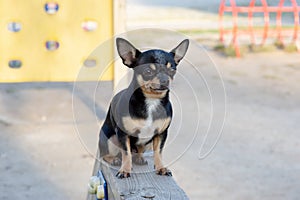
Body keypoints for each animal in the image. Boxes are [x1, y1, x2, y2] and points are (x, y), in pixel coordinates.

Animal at [99, 37, 189, 178]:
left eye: (172, 70)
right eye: (148, 71)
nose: (165, 80)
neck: (152, 100)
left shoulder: (161, 134)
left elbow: (158, 153)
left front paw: (161, 168)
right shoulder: (123, 134)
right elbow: (126, 153)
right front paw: (125, 170)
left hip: (148, 142)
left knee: (139, 150)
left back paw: (139, 158)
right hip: (110, 138)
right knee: (107, 155)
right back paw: (114, 159)